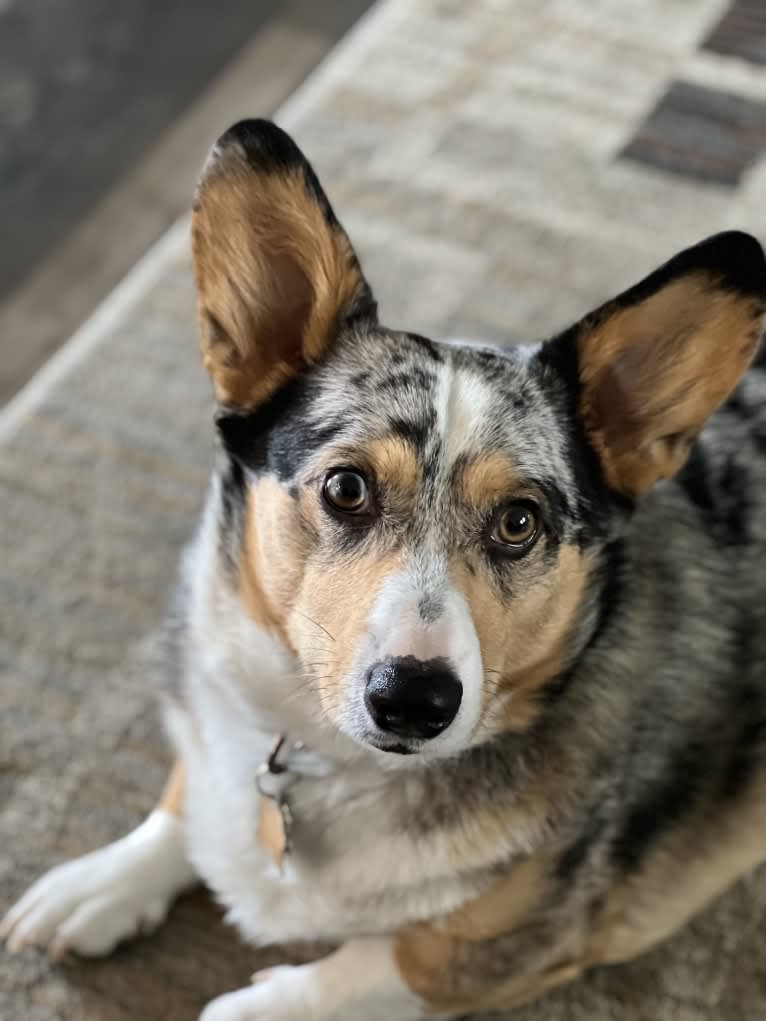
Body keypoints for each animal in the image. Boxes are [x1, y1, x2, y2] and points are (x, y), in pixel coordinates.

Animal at [1, 115, 766, 1016]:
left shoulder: (496, 949)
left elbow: (355, 967)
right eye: (346, 487)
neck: (325, 758)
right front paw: (102, 880)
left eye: (519, 522)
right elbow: (192, 793)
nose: (414, 700)